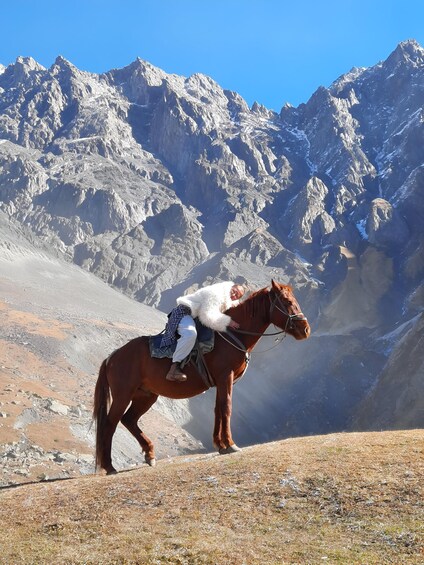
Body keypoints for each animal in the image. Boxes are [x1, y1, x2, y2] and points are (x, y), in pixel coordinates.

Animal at [93, 278, 312, 472]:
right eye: (288, 302)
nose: (305, 329)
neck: (233, 335)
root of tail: (113, 356)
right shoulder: (226, 377)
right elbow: (226, 408)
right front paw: (231, 444)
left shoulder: (221, 382)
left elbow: (218, 410)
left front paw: (220, 445)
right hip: (123, 395)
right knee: (110, 424)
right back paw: (109, 467)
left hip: (145, 395)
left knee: (129, 420)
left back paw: (149, 454)